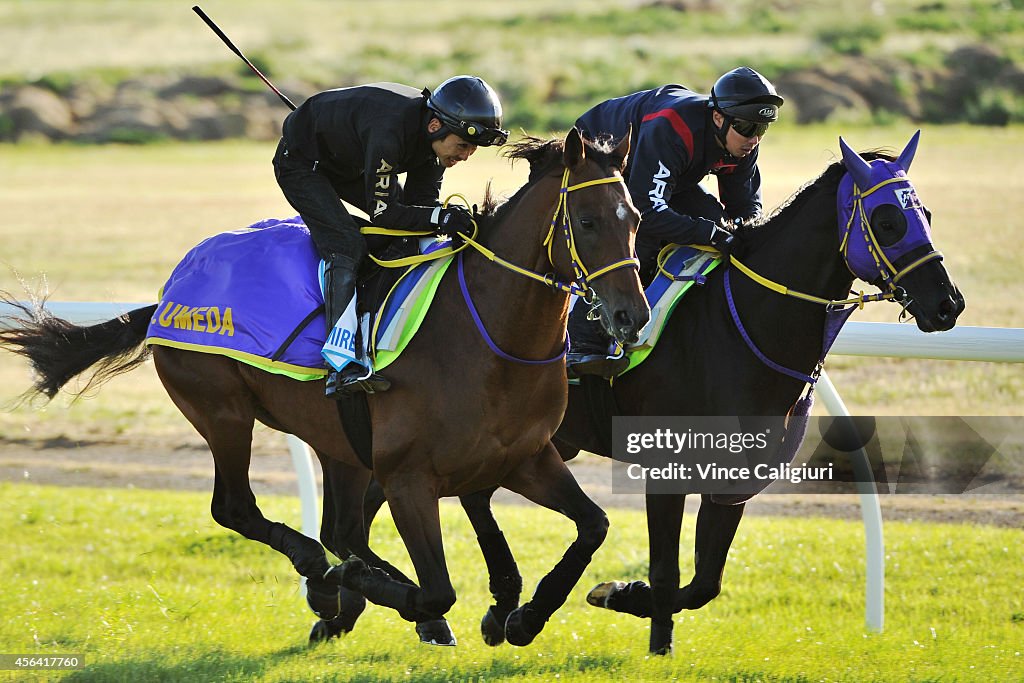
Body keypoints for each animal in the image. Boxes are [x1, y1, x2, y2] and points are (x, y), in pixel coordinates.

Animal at [2, 131, 647, 651]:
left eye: (635, 218)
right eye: (588, 221)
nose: (631, 316)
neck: (489, 337)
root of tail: (168, 293)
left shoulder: (524, 458)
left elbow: (593, 526)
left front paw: (524, 616)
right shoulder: (410, 479)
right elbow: (437, 589)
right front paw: (364, 590)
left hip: (338, 443)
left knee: (341, 529)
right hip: (222, 411)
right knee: (240, 509)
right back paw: (323, 572)